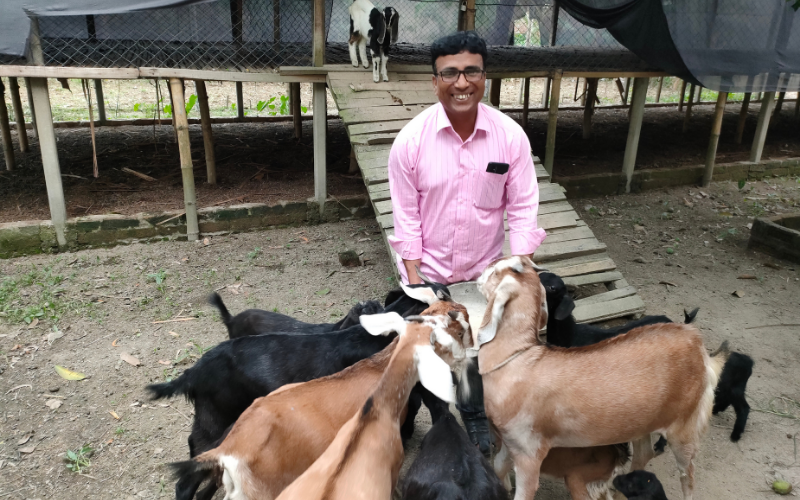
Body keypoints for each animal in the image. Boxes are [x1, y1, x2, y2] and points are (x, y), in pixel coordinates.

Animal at [476, 256, 732, 498]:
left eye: (496, 270)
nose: (479, 275)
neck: (518, 359)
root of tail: (698, 346)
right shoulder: (510, 442)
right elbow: (497, 468)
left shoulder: (529, 452)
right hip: (641, 421)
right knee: (643, 454)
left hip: (684, 427)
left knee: (688, 476)